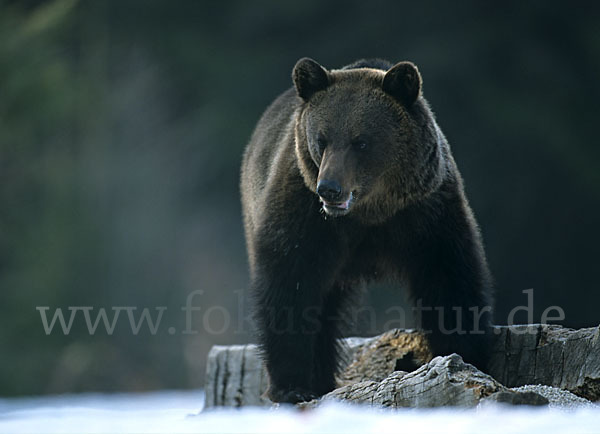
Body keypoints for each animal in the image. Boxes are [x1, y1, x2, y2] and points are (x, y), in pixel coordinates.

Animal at [239, 56, 492, 404]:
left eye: (360, 141)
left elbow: (449, 278)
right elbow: (291, 285)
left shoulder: (426, 214)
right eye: (322, 139)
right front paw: (293, 386)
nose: (329, 188)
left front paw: (468, 354)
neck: (370, 212)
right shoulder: (306, 217)